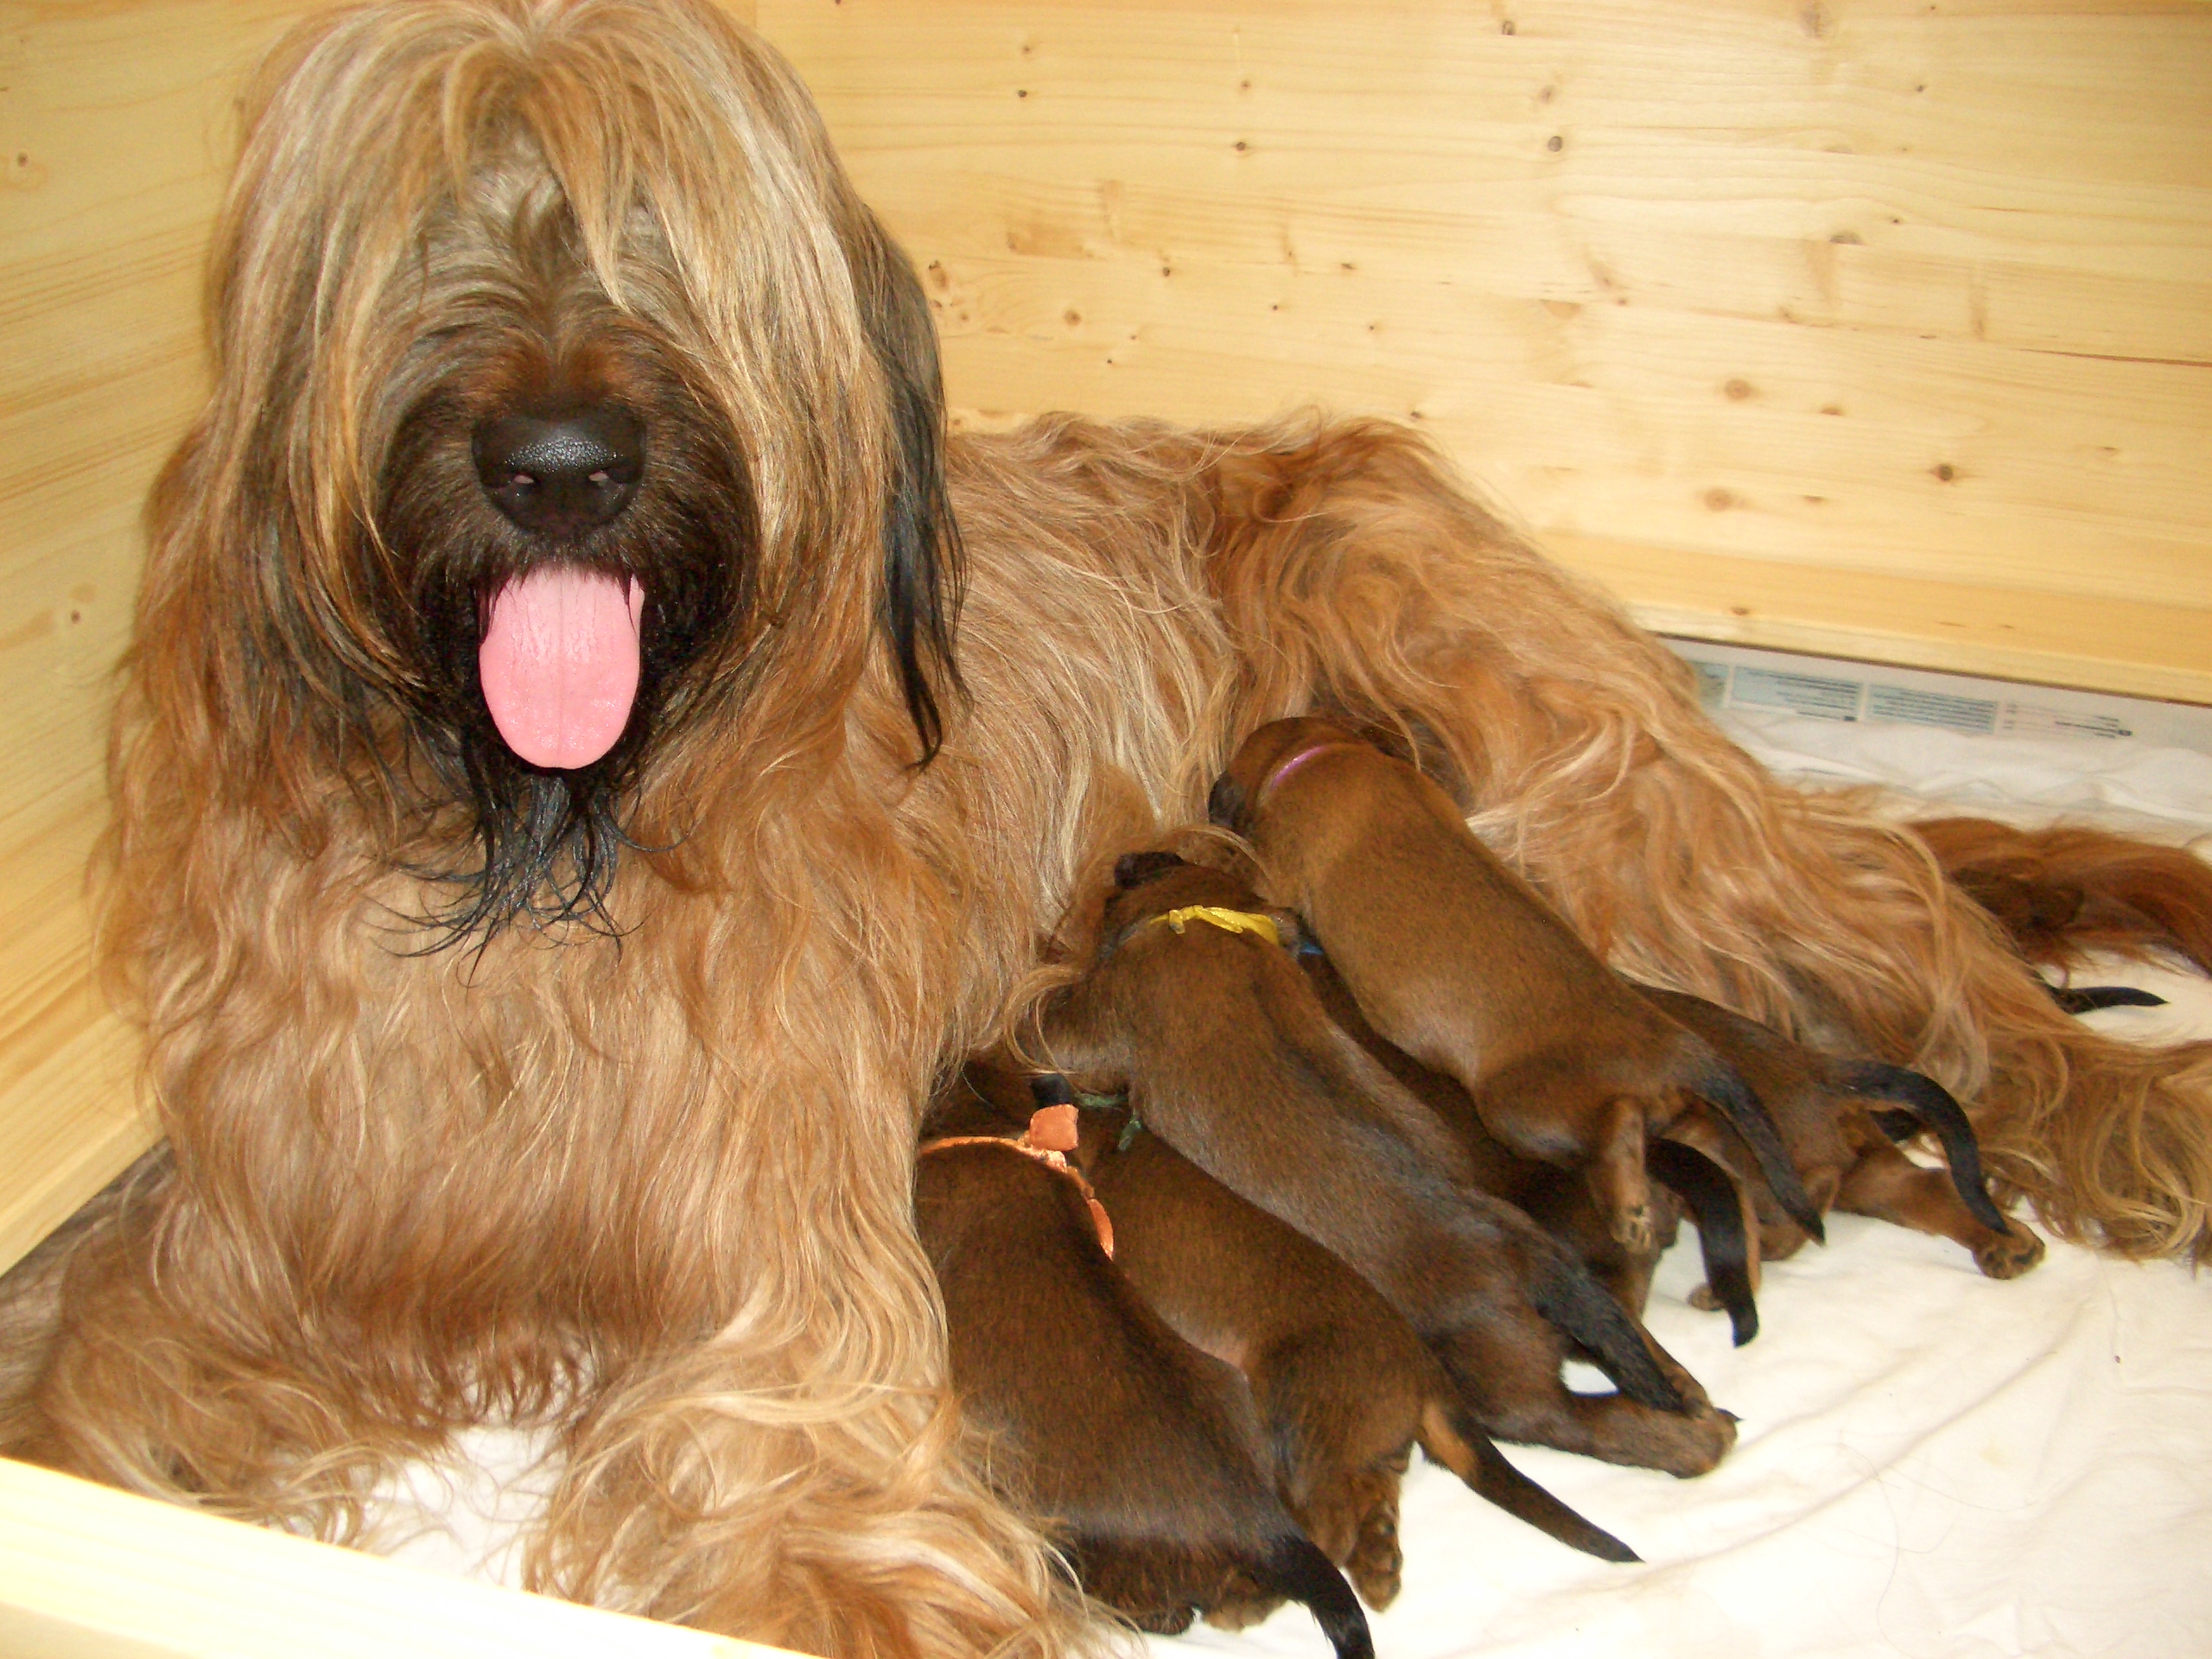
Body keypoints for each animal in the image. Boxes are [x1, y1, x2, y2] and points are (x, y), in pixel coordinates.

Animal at [1040, 853, 1738, 1478]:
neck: (1210, 921)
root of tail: (1525, 1257)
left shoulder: (1099, 1022)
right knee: (1635, 1342)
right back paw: (1687, 1393)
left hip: (1504, 1381)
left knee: (1574, 1420)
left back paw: (1691, 1444)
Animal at [1209, 717, 1821, 1257]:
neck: (1324, 752)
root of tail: (1676, 1046)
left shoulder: (1277, 871)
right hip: (1672, 1113)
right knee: (1715, 1145)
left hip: (1522, 1111)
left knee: (1616, 1133)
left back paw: (1629, 1212)